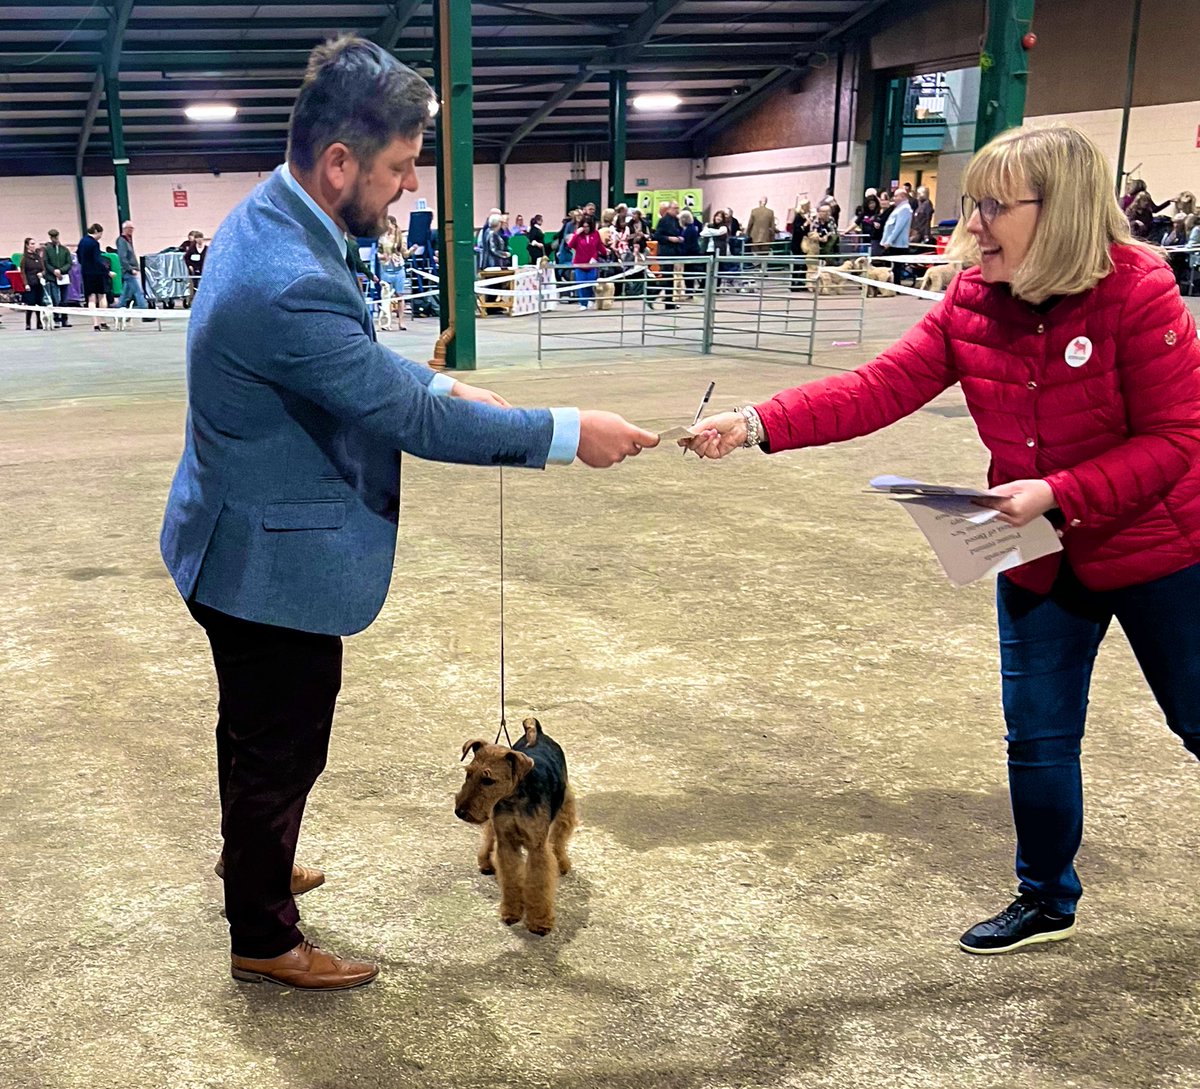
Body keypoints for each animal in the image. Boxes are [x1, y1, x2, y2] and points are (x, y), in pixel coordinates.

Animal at [453, 714, 576, 935]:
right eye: (468, 773)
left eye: (488, 780)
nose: (460, 812)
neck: (514, 798)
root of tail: (539, 732)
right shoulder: (506, 842)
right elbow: (511, 878)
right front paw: (512, 913)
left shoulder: (537, 848)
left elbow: (538, 884)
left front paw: (539, 922)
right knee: (488, 836)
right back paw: (486, 863)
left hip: (565, 807)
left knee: (559, 840)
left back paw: (562, 863)